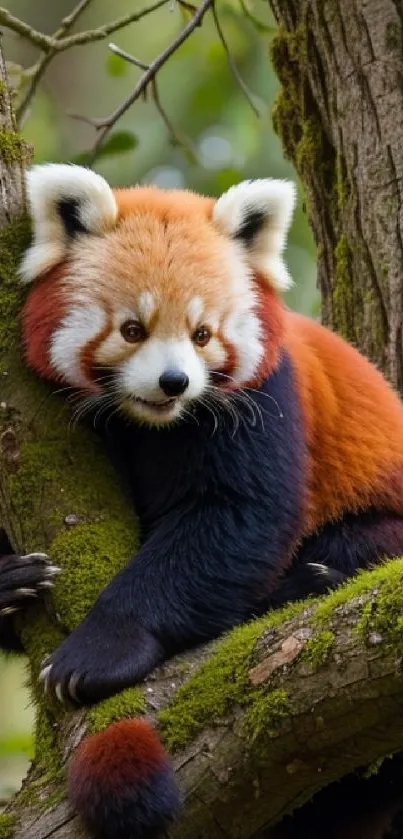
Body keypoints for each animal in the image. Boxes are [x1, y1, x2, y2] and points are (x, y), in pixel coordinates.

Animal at [2, 166, 403, 839]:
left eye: (202, 335)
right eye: (132, 329)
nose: (175, 382)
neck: (149, 423)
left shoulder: (263, 394)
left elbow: (234, 518)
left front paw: (100, 651)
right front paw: (9, 579)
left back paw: (311, 581)